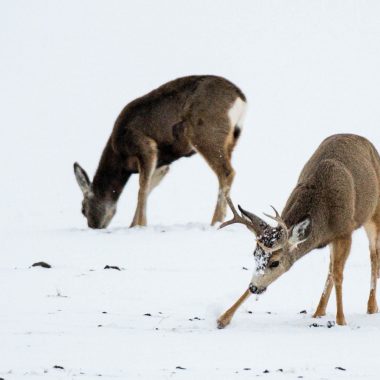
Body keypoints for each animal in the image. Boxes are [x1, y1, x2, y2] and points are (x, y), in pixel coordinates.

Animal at [74, 74, 246, 229]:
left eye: (83, 209)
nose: (94, 226)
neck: (119, 158)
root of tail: (241, 98)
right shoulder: (163, 164)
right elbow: (149, 187)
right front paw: (133, 225)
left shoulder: (144, 146)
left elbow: (142, 189)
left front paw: (140, 226)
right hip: (231, 140)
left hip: (205, 133)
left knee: (226, 172)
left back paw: (215, 222)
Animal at [217, 134, 380, 326]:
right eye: (254, 255)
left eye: (275, 262)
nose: (254, 287)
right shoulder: (333, 236)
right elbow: (334, 270)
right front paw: (223, 318)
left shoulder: (344, 231)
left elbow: (339, 274)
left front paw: (341, 320)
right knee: (331, 267)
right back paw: (318, 312)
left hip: (373, 214)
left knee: (373, 256)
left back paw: (371, 307)